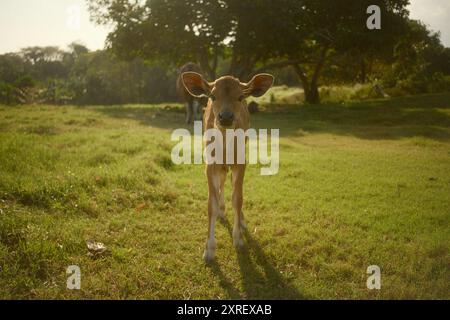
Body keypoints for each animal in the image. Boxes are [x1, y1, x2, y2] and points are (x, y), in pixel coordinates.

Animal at [180, 72, 272, 262]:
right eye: (213, 96)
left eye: (240, 97)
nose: (226, 117)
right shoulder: (209, 162)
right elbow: (211, 204)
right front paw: (209, 249)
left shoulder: (241, 161)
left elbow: (238, 199)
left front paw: (238, 239)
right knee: (222, 179)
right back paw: (222, 211)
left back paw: (241, 220)